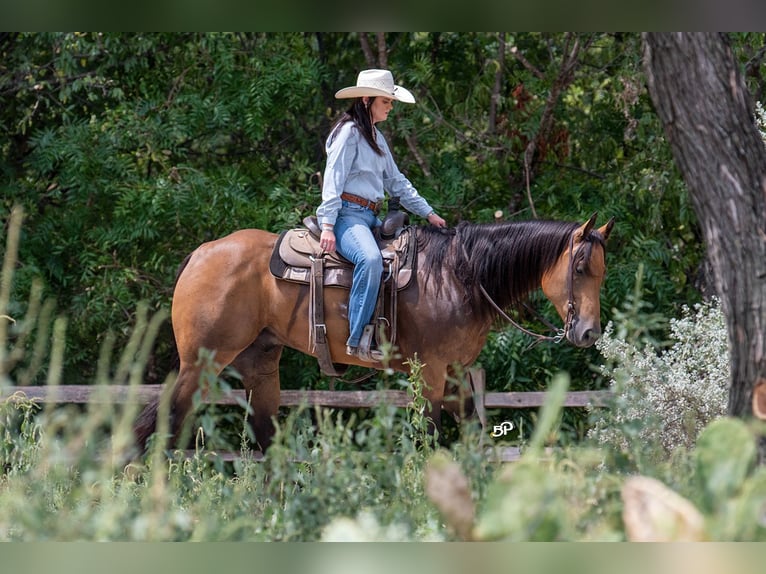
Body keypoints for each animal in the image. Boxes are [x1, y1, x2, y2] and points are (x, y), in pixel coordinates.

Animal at [134, 213, 612, 454]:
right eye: (580, 267)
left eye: (602, 272)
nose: (588, 333)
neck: (457, 275)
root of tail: (201, 253)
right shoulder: (430, 372)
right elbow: (430, 436)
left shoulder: (459, 373)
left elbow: (473, 436)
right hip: (202, 363)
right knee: (165, 420)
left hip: (260, 366)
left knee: (264, 438)